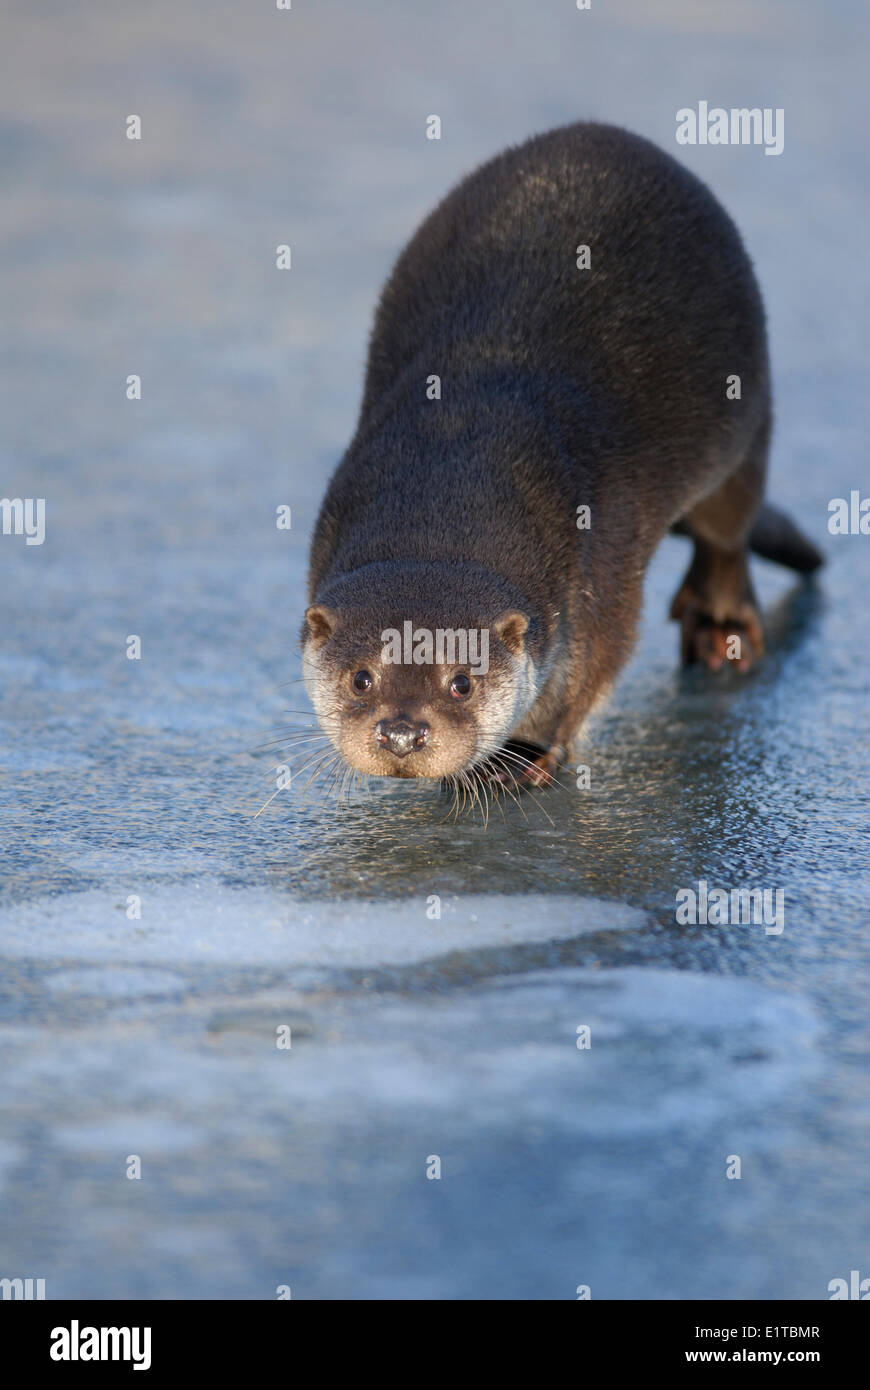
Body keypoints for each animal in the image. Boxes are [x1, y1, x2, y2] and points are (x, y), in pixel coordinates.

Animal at [302, 122, 817, 783]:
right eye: (361, 679)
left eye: (462, 682)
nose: (401, 733)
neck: (449, 469)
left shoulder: (600, 558)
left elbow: (594, 662)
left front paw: (523, 753)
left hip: (747, 416)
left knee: (728, 528)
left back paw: (721, 630)